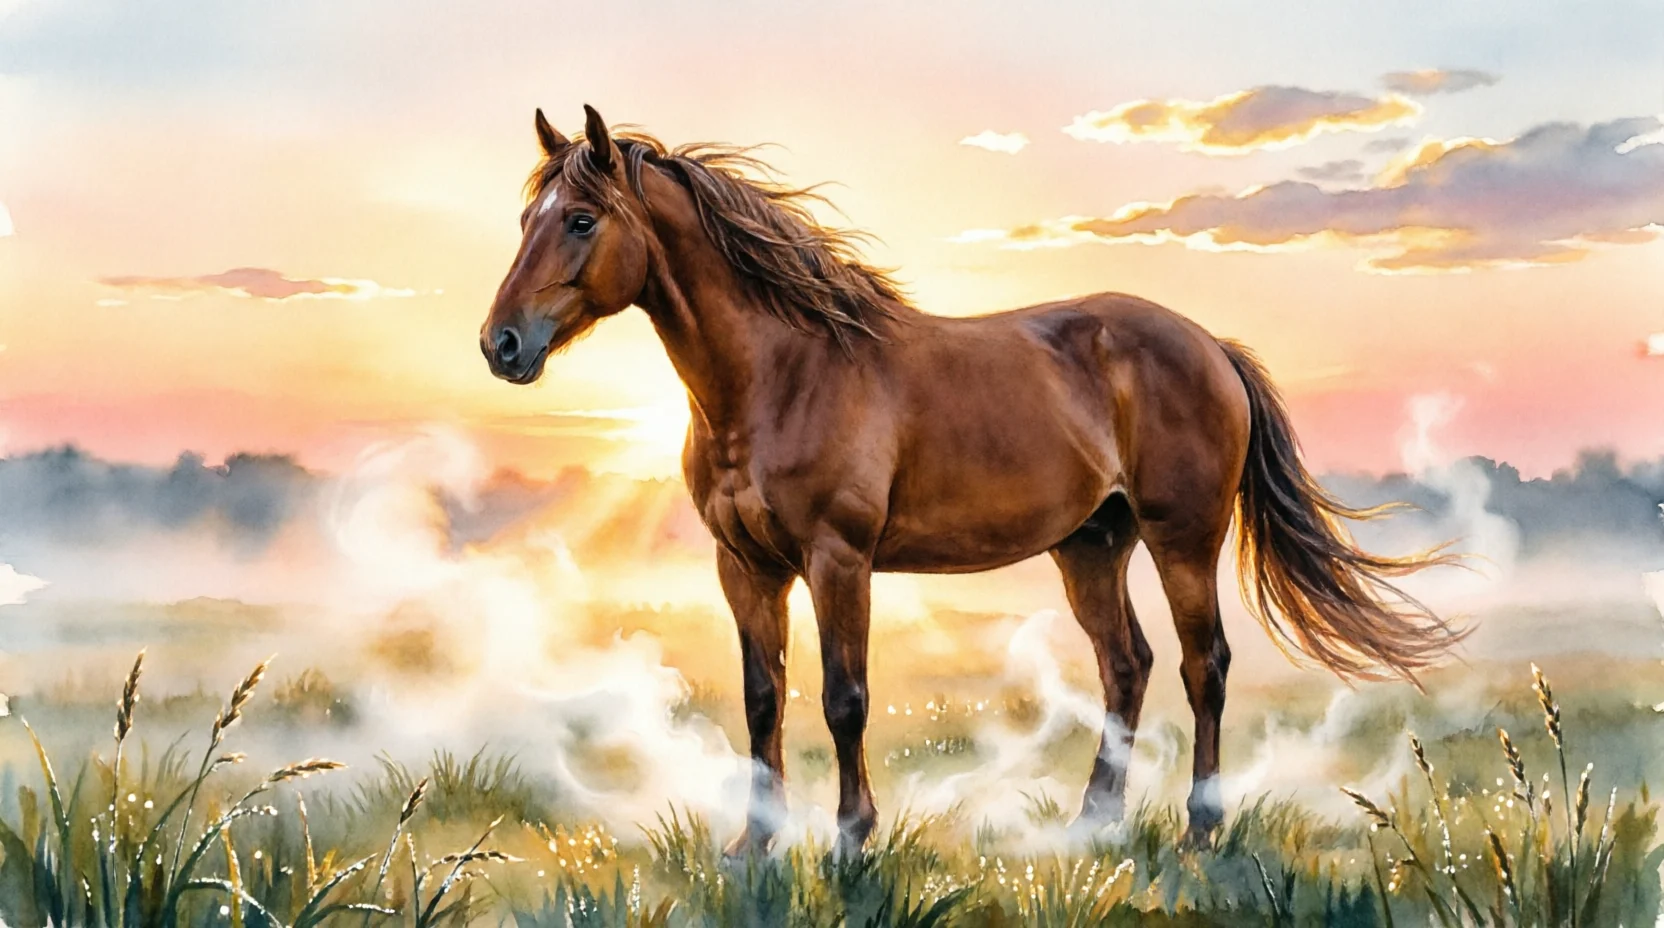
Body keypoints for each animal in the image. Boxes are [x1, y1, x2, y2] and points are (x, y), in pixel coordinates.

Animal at [479, 105, 1463, 855]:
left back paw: (1199, 831)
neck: (783, 371)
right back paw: (1093, 826)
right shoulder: (745, 567)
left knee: (1203, 666)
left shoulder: (839, 561)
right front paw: (752, 846)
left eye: (580, 221)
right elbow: (763, 701)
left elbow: (843, 700)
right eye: (526, 221)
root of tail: (1209, 346)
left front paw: (850, 843)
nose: (502, 345)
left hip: (1182, 540)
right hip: (1092, 547)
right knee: (1128, 665)